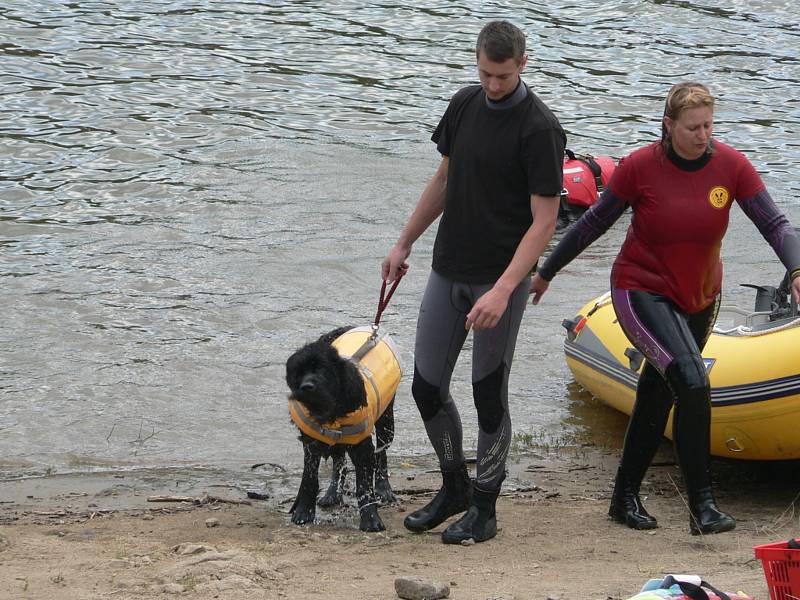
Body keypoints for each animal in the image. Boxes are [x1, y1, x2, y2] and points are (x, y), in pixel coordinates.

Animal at [288, 328, 400, 528]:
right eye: (299, 372)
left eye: (322, 370)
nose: (306, 387)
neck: (330, 414)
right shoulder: (311, 444)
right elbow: (309, 479)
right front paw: (304, 512)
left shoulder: (363, 447)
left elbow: (364, 486)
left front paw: (371, 519)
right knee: (339, 461)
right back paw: (333, 494)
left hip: (386, 419)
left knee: (382, 453)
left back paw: (384, 488)